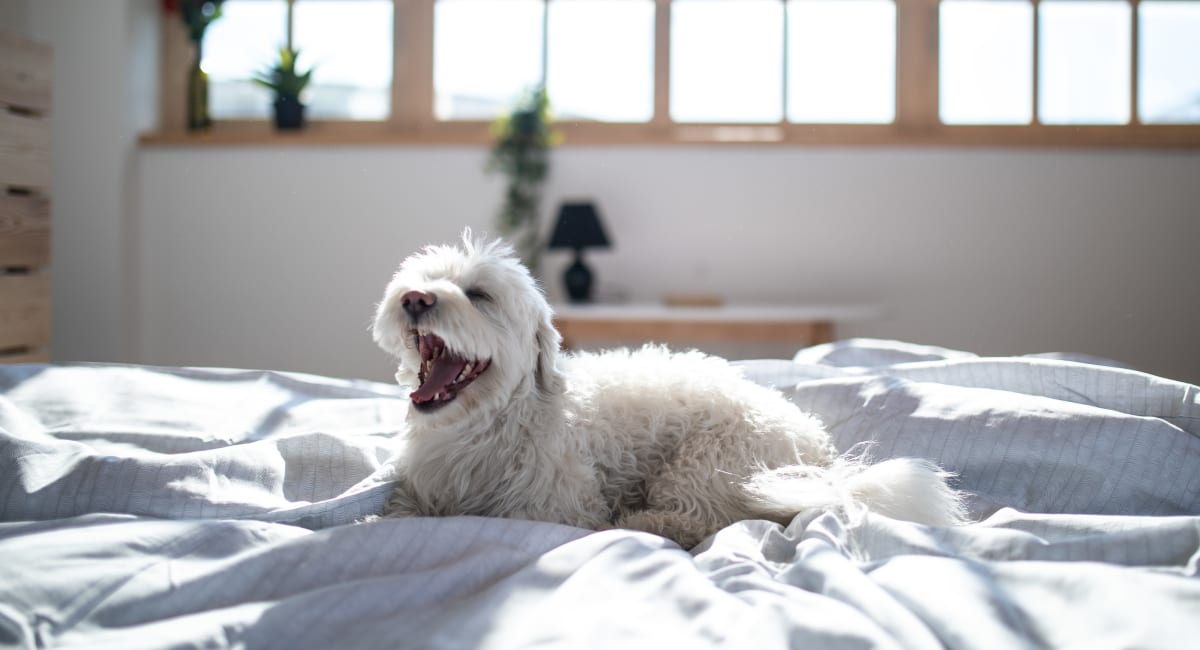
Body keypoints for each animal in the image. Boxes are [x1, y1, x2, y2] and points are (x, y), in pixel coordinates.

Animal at [374, 235, 964, 551]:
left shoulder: (557, 508)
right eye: (423, 278)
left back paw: (641, 523)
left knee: (706, 520)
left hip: (707, 463)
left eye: (479, 295)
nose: (415, 298)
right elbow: (398, 515)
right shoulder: (419, 492)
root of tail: (822, 455)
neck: (485, 426)